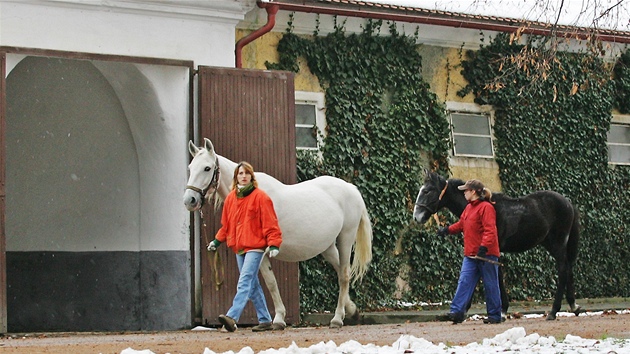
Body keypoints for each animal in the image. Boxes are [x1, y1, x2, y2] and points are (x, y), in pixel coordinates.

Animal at [183, 138, 372, 330]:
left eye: (207, 168)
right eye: (190, 167)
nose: (189, 200)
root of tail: (351, 188)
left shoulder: (260, 251)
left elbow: (269, 283)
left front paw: (278, 319)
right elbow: (265, 283)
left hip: (345, 239)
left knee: (344, 275)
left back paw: (337, 318)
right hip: (327, 247)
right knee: (341, 272)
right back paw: (352, 310)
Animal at [414, 171, 584, 320]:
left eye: (427, 191)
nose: (416, 217)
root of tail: (568, 203)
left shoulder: (491, 250)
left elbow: (495, 276)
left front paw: (501, 311)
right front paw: (462, 312)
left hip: (558, 243)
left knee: (563, 269)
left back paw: (554, 311)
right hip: (549, 243)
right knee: (568, 267)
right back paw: (573, 306)